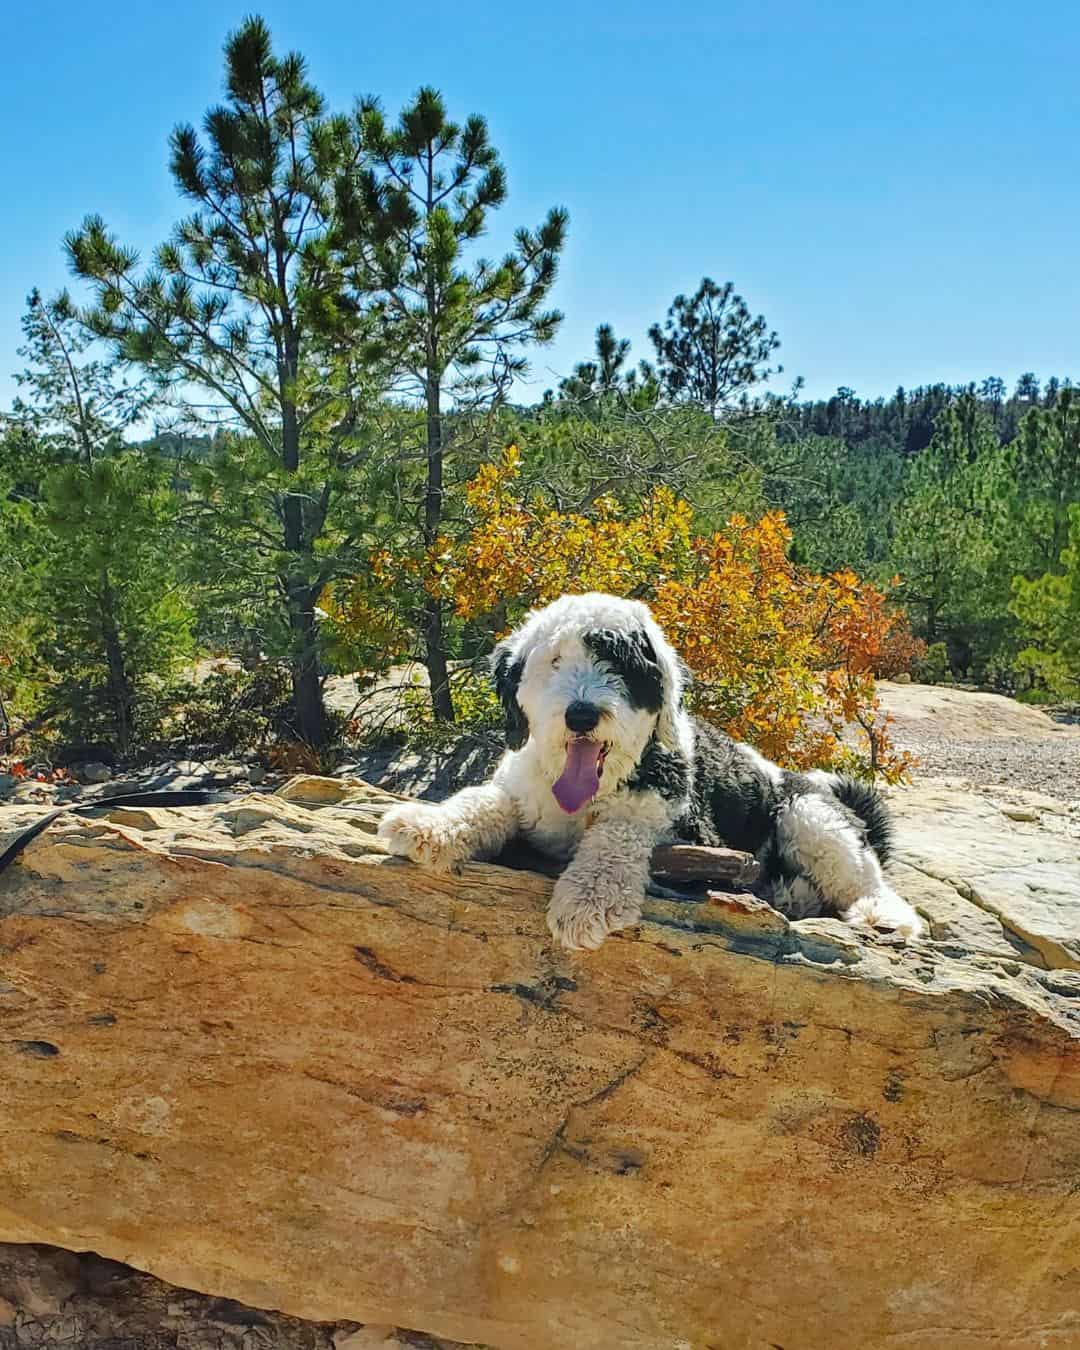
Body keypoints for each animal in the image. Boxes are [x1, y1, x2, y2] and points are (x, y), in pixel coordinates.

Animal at [375, 591, 923, 950]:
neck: (590, 792)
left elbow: (620, 832)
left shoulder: (686, 825)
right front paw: (428, 825)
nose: (581, 714)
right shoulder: (521, 790)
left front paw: (587, 902)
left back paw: (882, 917)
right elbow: (483, 801)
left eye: (619, 662)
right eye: (554, 661)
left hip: (808, 816)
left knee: (868, 880)